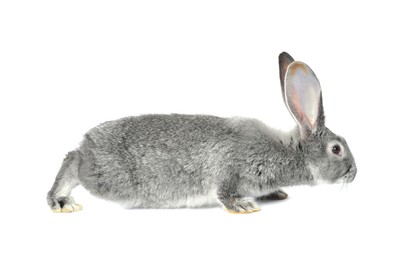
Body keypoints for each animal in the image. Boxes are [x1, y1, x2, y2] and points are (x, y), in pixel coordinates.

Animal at [45, 52, 354, 213]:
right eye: (337, 149)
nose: (354, 172)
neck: (289, 152)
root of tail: (88, 144)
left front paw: (275, 194)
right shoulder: (232, 169)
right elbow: (225, 191)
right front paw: (243, 206)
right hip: (105, 177)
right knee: (72, 161)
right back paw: (60, 200)